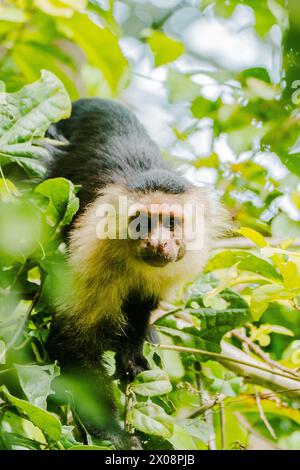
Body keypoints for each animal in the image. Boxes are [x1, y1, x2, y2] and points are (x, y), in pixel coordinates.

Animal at [44, 100, 229, 448]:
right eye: (143, 222)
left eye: (170, 223)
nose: (157, 242)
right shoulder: (94, 248)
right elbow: (73, 343)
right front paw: (115, 433)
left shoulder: (182, 260)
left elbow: (144, 302)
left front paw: (132, 351)